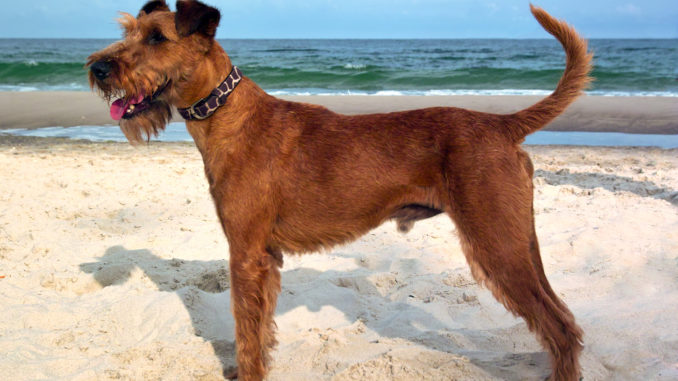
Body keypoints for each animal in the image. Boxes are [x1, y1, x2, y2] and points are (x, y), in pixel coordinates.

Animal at [89, 1, 596, 378]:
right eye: (129, 31)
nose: (97, 68)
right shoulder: (265, 259)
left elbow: (246, 334)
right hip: (518, 242)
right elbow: (260, 332)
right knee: (564, 321)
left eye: (157, 38)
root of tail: (501, 124)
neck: (229, 114)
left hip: (497, 246)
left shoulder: (246, 254)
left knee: (560, 327)